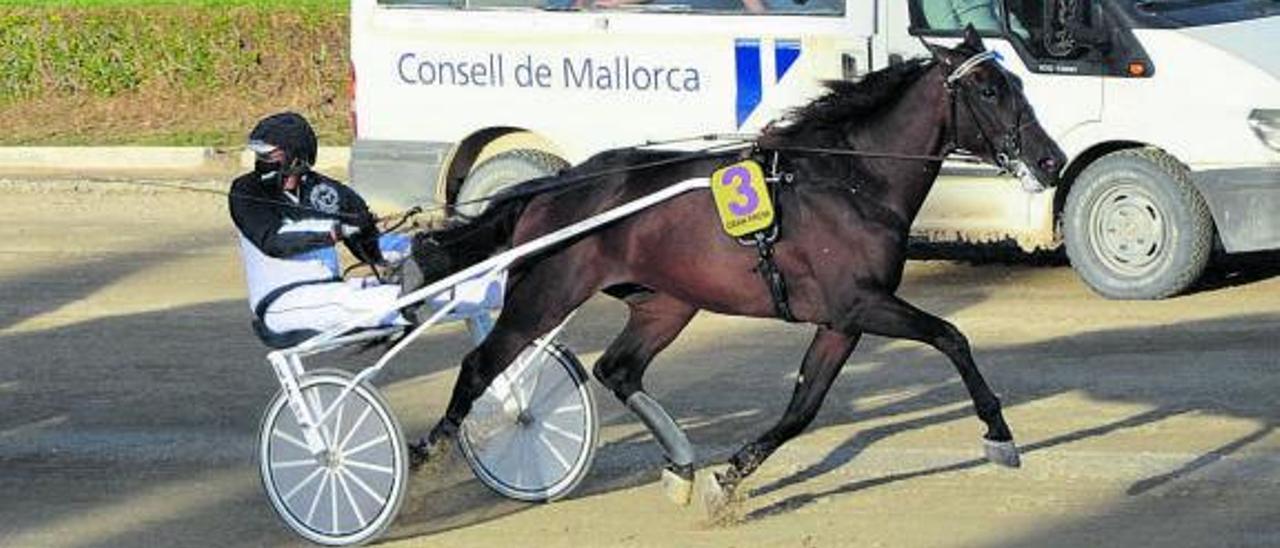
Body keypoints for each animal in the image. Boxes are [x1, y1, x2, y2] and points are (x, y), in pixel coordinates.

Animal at [414, 28, 1064, 509]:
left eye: (1014, 83)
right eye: (988, 89)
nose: (1050, 160)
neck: (852, 179)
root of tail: (551, 185)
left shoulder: (841, 321)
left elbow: (803, 407)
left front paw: (728, 478)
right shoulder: (862, 302)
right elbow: (951, 337)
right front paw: (999, 435)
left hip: (666, 302)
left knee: (618, 369)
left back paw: (681, 466)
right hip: (545, 293)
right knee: (480, 366)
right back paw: (426, 458)